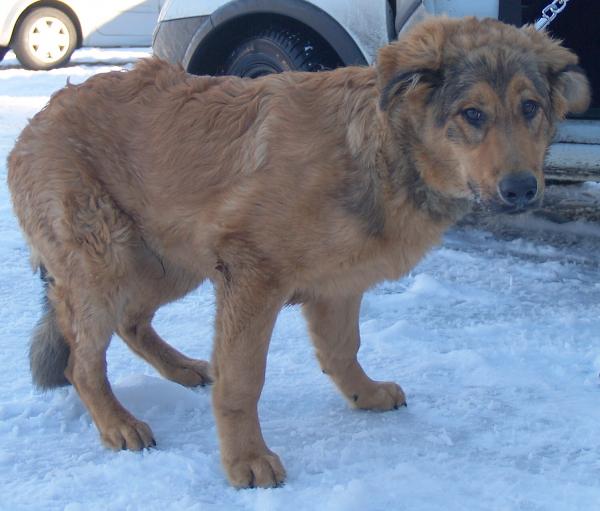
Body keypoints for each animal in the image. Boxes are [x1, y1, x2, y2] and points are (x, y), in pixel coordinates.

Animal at [7, 16, 590, 488]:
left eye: (530, 108)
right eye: (472, 114)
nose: (522, 190)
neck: (379, 149)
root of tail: (38, 119)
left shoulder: (338, 284)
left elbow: (342, 350)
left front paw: (363, 395)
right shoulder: (251, 276)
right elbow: (243, 380)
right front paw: (245, 461)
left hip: (166, 261)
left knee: (131, 323)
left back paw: (182, 370)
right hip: (108, 259)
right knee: (82, 361)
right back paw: (118, 423)